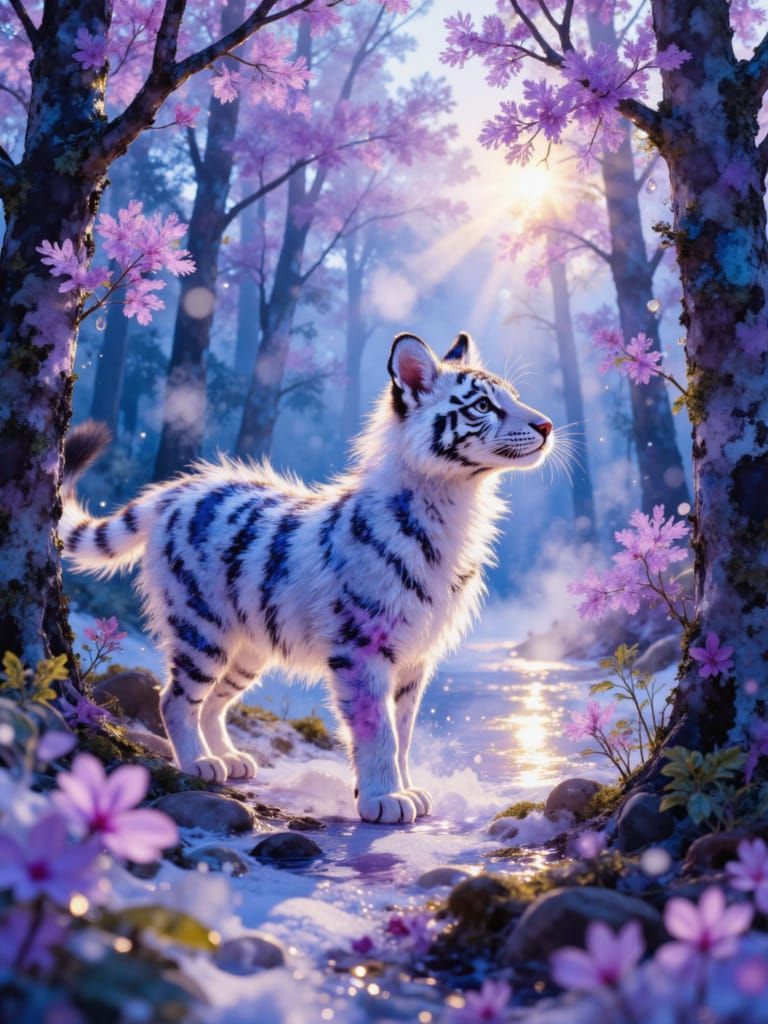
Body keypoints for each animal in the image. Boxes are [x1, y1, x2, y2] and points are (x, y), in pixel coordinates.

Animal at [62, 331, 554, 823]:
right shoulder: (362, 648)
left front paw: (407, 791)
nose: (547, 425)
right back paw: (200, 763)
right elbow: (378, 731)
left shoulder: (416, 656)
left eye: (514, 395)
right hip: (202, 628)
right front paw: (383, 799)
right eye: (483, 405)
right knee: (175, 697)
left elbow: (404, 731)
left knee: (216, 701)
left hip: (251, 646)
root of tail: (178, 490)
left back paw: (231, 758)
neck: (456, 503)